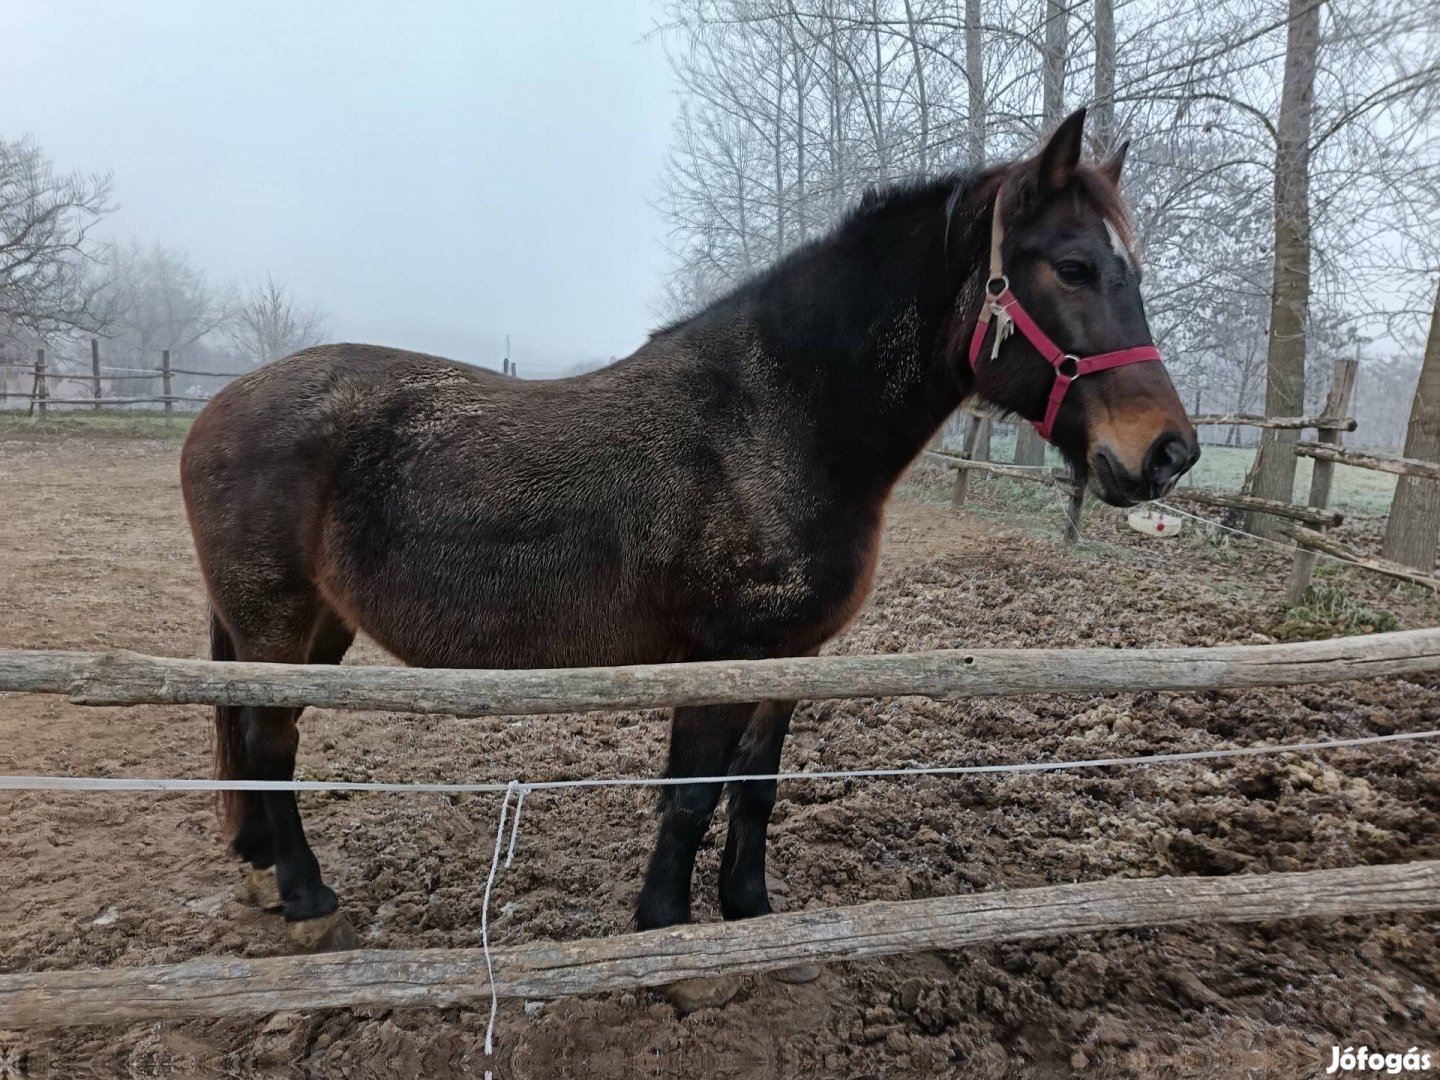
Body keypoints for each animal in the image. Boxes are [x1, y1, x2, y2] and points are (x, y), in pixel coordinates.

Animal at [182, 110, 1203, 950]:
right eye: (1072, 267)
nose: (1169, 452)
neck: (775, 422)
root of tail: (217, 409)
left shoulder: (791, 657)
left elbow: (754, 790)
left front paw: (748, 909)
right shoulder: (718, 656)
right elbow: (690, 797)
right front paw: (665, 928)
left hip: (318, 626)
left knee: (262, 733)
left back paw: (265, 871)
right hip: (278, 623)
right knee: (268, 742)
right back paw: (308, 899)